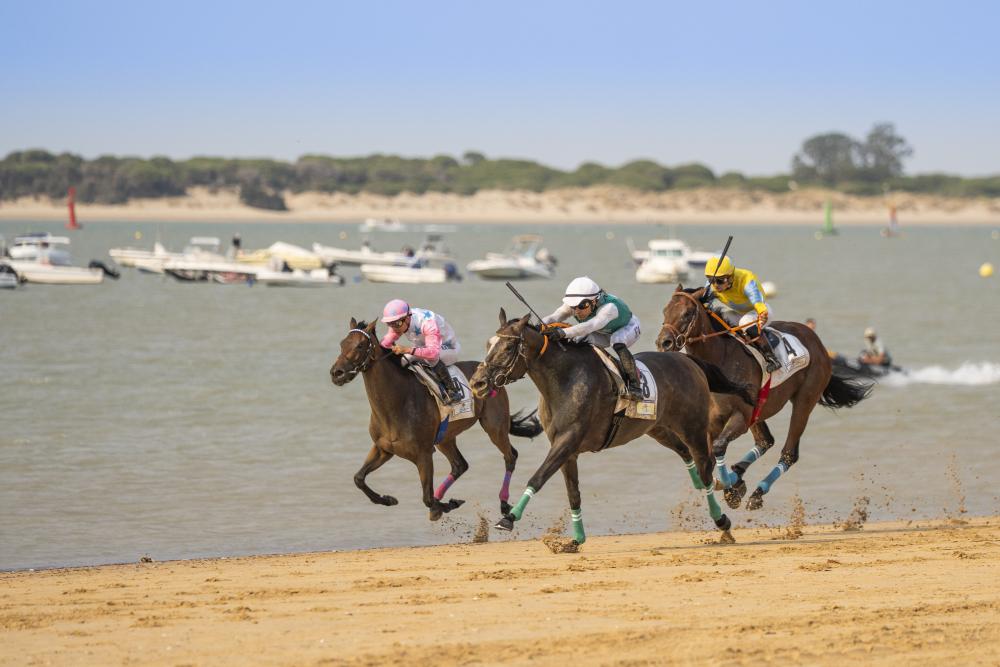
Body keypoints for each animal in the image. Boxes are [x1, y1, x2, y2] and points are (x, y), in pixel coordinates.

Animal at [329, 318, 543, 520]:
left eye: (359, 345)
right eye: (342, 344)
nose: (336, 373)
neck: (396, 404)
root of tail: (495, 377)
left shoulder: (424, 455)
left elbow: (427, 497)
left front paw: (443, 506)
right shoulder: (384, 449)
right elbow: (359, 478)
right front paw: (388, 499)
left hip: (494, 427)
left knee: (510, 456)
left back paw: (504, 503)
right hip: (445, 437)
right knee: (460, 465)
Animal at [469, 309, 756, 544]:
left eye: (508, 348)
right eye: (488, 344)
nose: (477, 383)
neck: (564, 379)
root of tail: (688, 360)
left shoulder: (568, 441)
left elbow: (537, 478)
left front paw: (508, 518)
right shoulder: (567, 450)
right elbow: (573, 493)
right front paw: (576, 540)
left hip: (693, 426)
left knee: (706, 464)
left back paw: (722, 518)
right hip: (657, 428)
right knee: (688, 456)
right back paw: (712, 487)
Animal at [656, 286, 873, 510]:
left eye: (687, 313)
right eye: (665, 311)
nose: (664, 342)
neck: (720, 360)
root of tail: (816, 341)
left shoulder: (741, 417)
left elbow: (718, 447)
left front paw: (730, 491)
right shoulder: (713, 421)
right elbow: (709, 457)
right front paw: (732, 484)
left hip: (804, 401)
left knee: (789, 453)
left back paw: (757, 492)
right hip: (759, 411)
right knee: (765, 441)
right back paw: (739, 475)